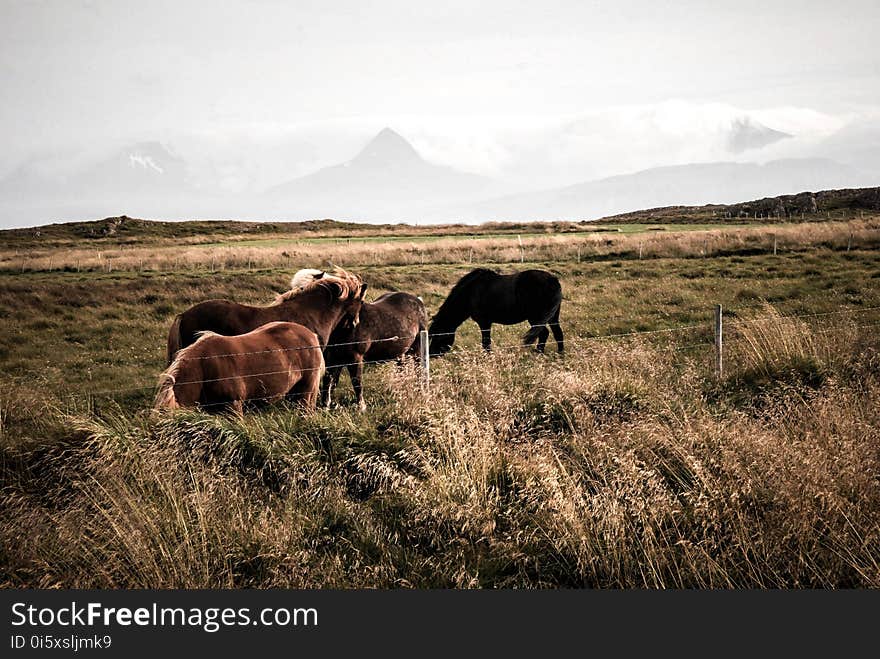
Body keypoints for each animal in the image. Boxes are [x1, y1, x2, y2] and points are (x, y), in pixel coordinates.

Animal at [428, 268, 564, 358]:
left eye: (437, 336)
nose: (431, 355)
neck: (471, 292)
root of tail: (553, 280)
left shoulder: (484, 322)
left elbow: (486, 342)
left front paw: (487, 357)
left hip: (536, 318)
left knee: (544, 333)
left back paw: (539, 353)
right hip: (551, 317)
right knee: (557, 333)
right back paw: (559, 354)